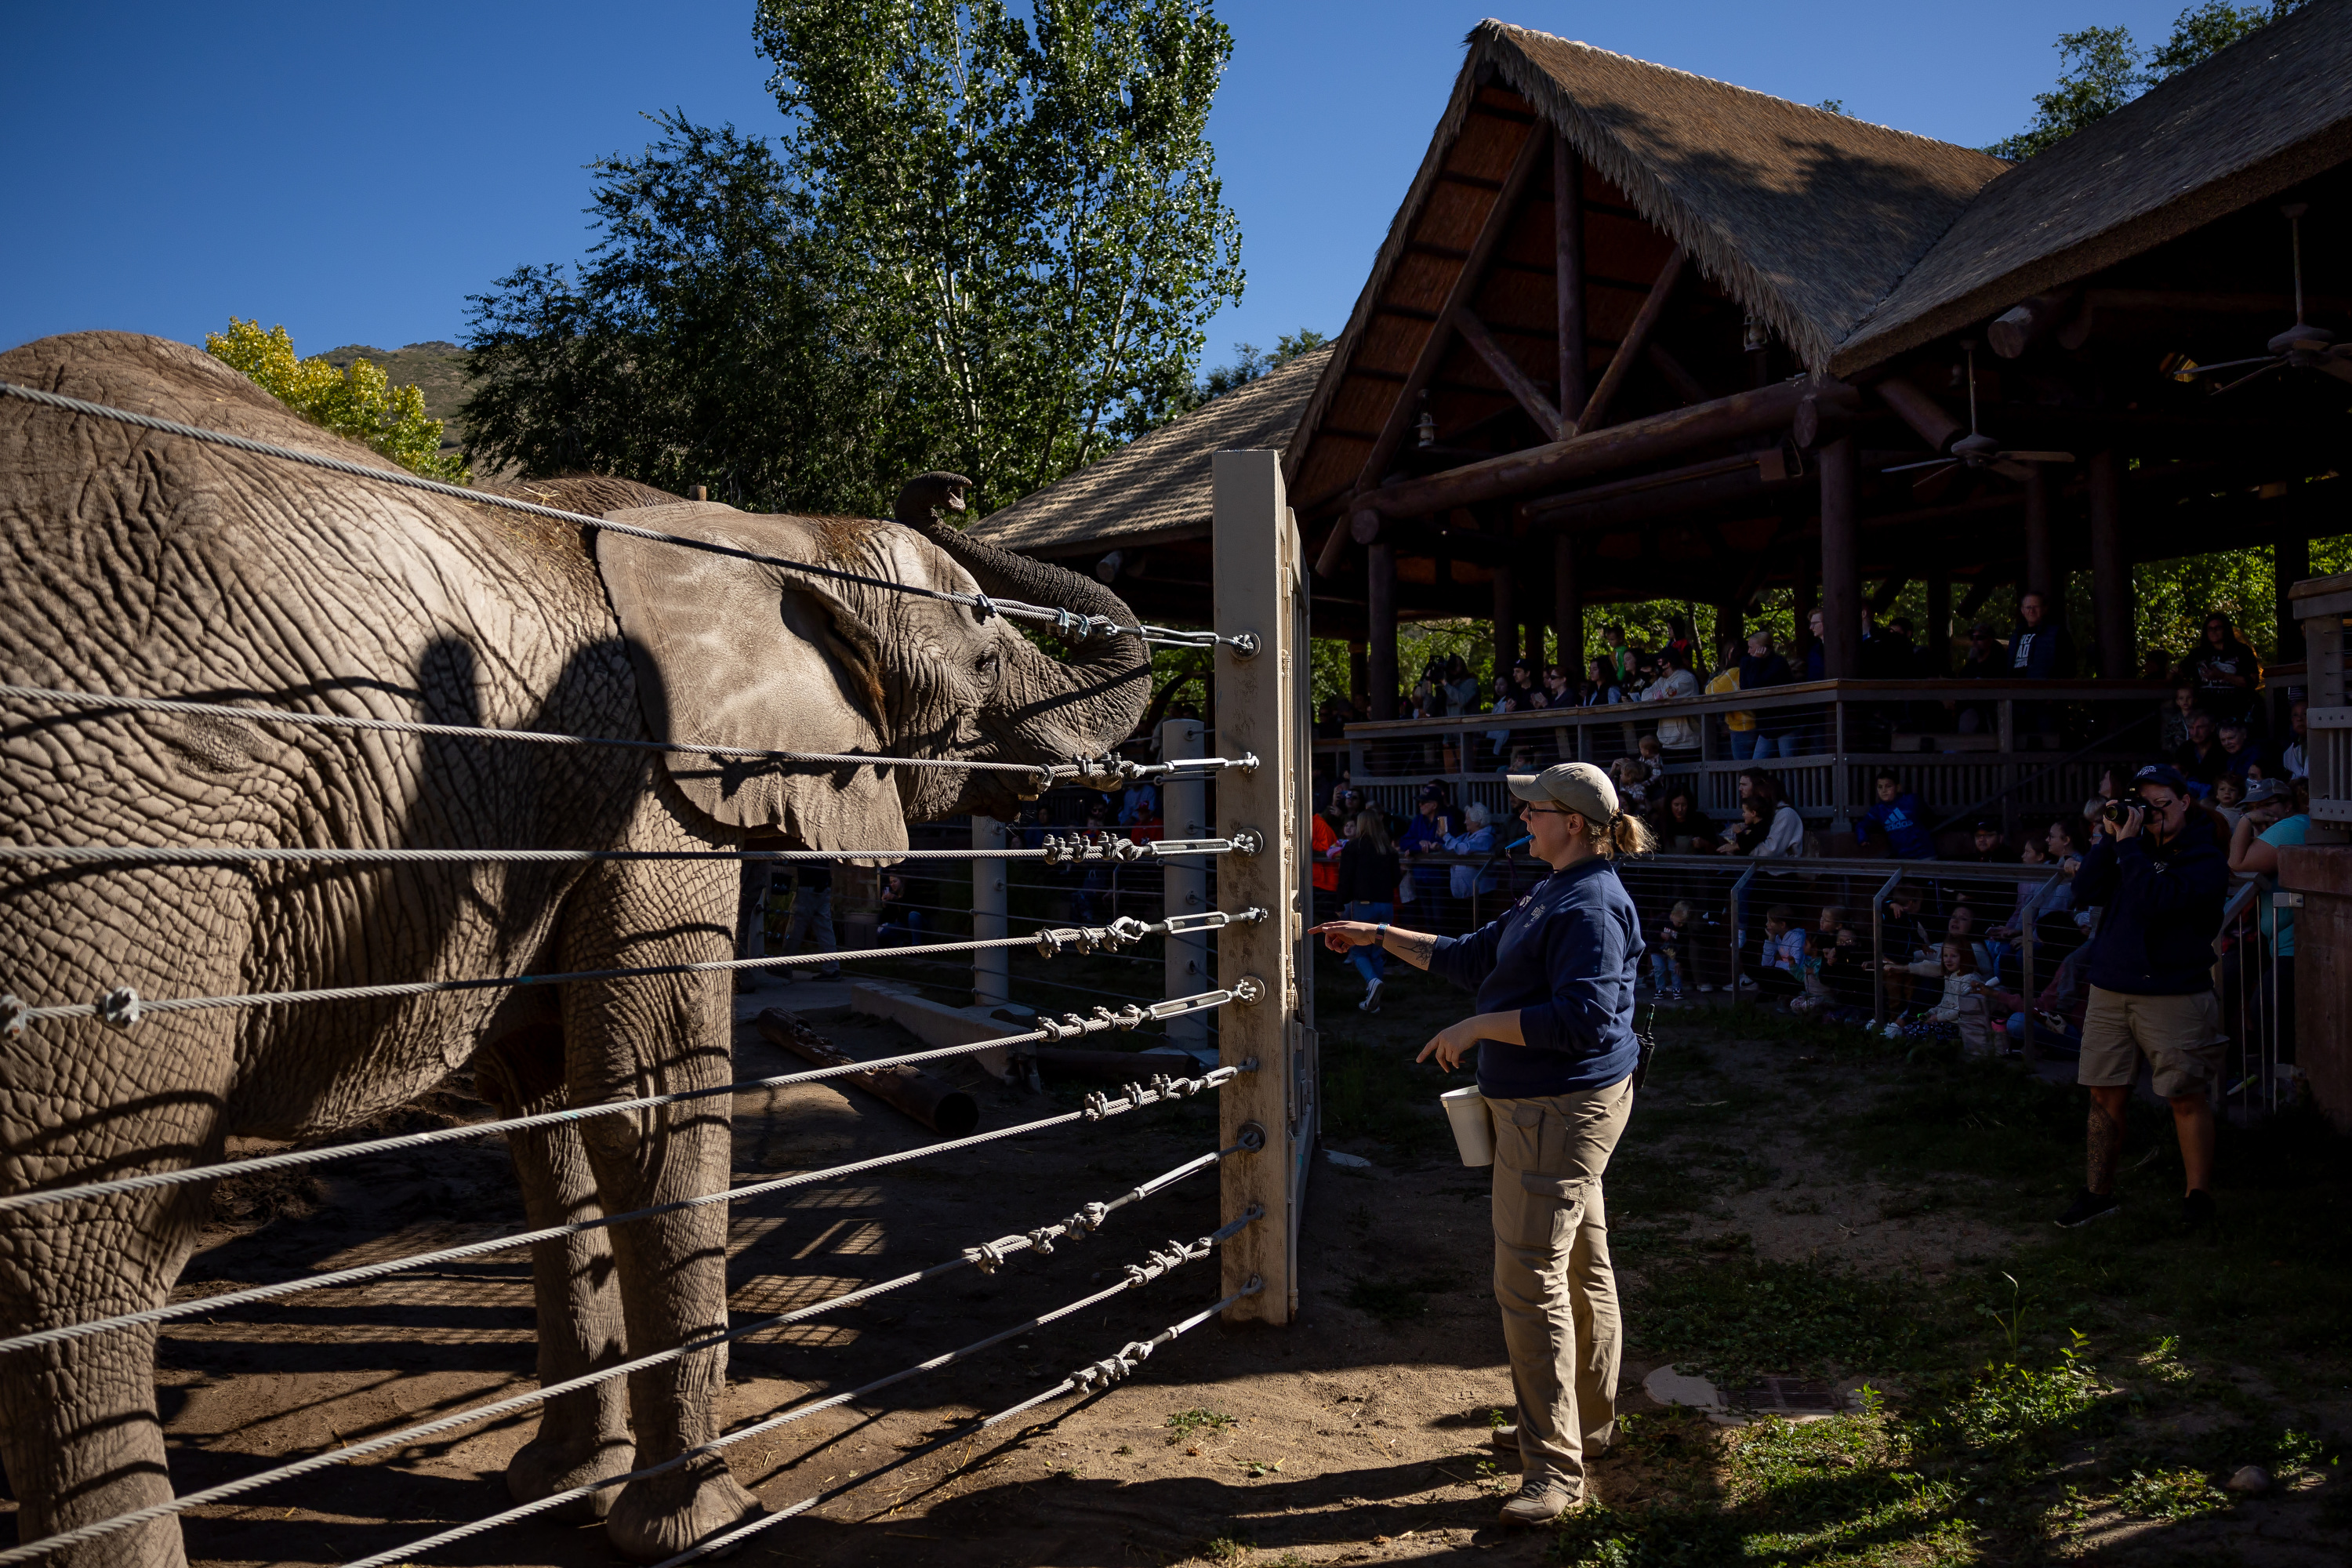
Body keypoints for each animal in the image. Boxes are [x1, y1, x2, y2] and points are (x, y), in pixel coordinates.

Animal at [0, 332, 1148, 1567]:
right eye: (982, 648)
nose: (948, 483)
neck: (769, 536)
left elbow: (545, 1106)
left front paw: (560, 1485)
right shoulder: (661, 791)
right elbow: (651, 1093)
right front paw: (694, 1527)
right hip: (112, 834)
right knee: (92, 1247)